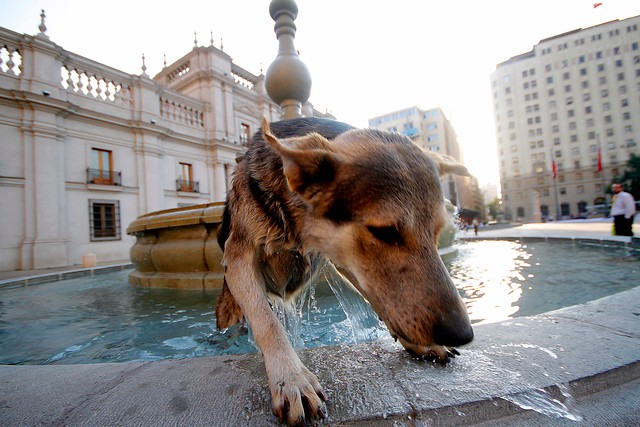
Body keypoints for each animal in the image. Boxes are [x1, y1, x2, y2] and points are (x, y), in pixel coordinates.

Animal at [218, 116, 472, 424]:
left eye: (437, 232)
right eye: (384, 231)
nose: (462, 334)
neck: (295, 222)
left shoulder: (345, 260)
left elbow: (379, 297)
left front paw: (419, 343)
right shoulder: (238, 259)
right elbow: (269, 324)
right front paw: (291, 378)